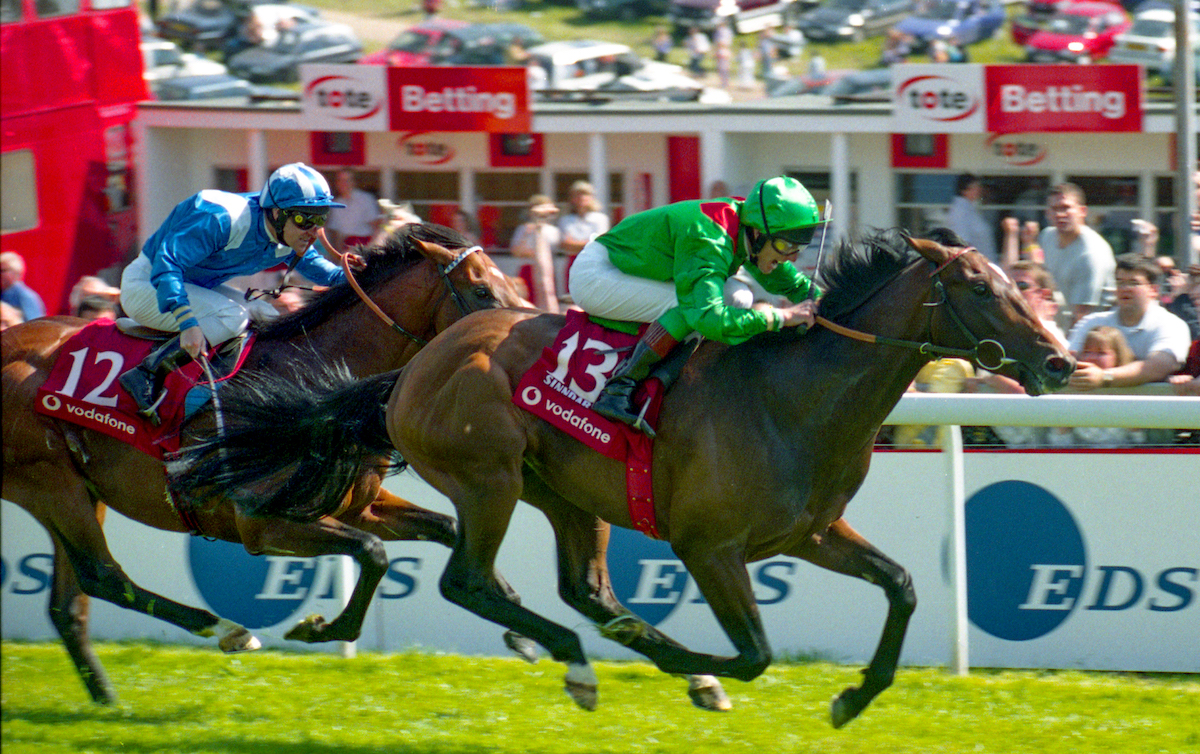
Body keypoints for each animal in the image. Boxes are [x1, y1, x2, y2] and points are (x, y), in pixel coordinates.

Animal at [2, 220, 530, 705]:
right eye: (482, 289)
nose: (520, 338)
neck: (311, 387)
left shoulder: (359, 505)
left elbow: (446, 529)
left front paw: (515, 623)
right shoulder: (260, 521)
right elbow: (372, 552)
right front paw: (319, 629)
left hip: (81, 488)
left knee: (70, 603)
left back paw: (108, 698)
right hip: (50, 482)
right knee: (103, 575)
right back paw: (225, 630)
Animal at [171, 228, 1080, 725]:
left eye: (1016, 280)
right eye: (977, 287)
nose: (1062, 362)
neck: (795, 395)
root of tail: (413, 367)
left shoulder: (811, 531)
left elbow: (901, 586)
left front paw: (853, 698)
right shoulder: (709, 547)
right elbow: (754, 653)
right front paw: (703, 671)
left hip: (570, 494)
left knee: (583, 589)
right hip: (490, 476)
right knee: (472, 580)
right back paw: (584, 661)